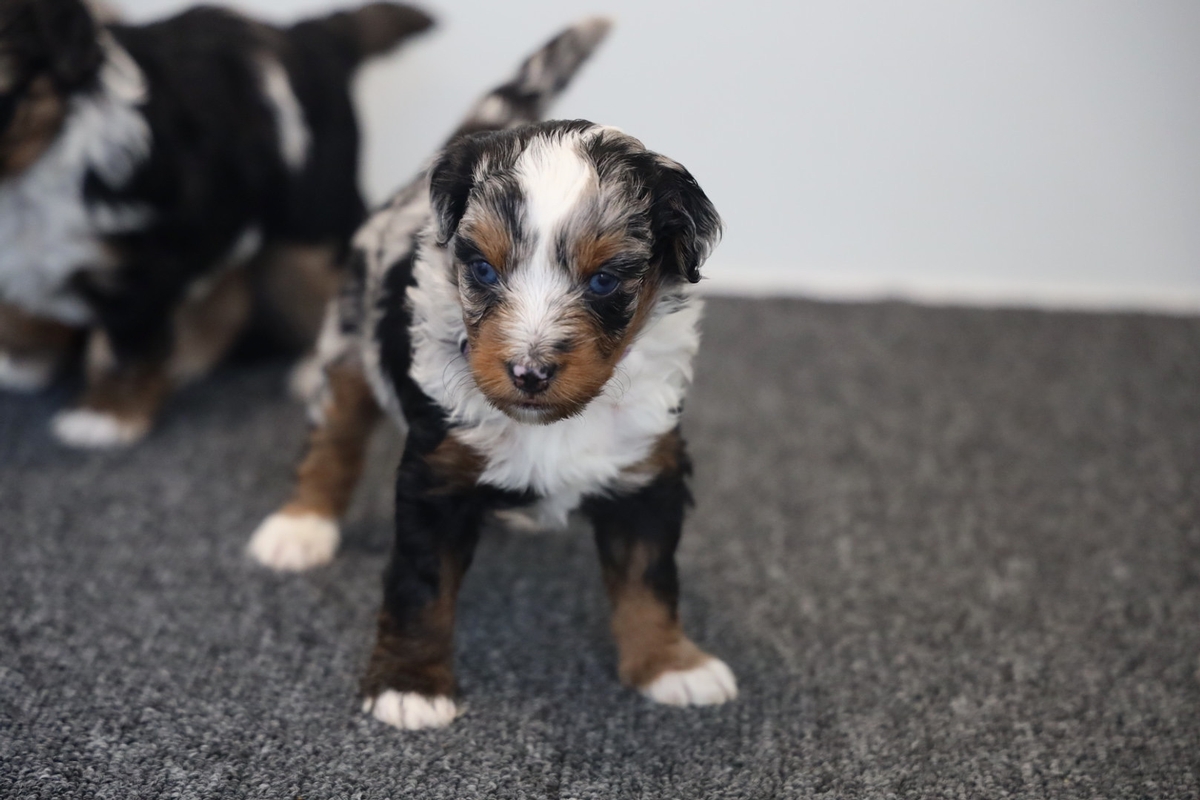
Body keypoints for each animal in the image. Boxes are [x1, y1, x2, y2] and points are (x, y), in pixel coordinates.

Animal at [0, 0, 432, 448]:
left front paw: (106, 415)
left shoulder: (134, 265)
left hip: (313, 215)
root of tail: (307, 37)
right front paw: (23, 358)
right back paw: (190, 352)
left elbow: (125, 346)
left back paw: (314, 367)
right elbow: (18, 306)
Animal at [247, 17, 729, 734]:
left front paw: (671, 665)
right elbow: (421, 589)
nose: (528, 372)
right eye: (481, 269)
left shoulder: (648, 469)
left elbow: (650, 578)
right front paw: (411, 687)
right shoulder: (437, 475)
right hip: (347, 337)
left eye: (604, 281)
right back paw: (299, 526)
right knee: (333, 433)